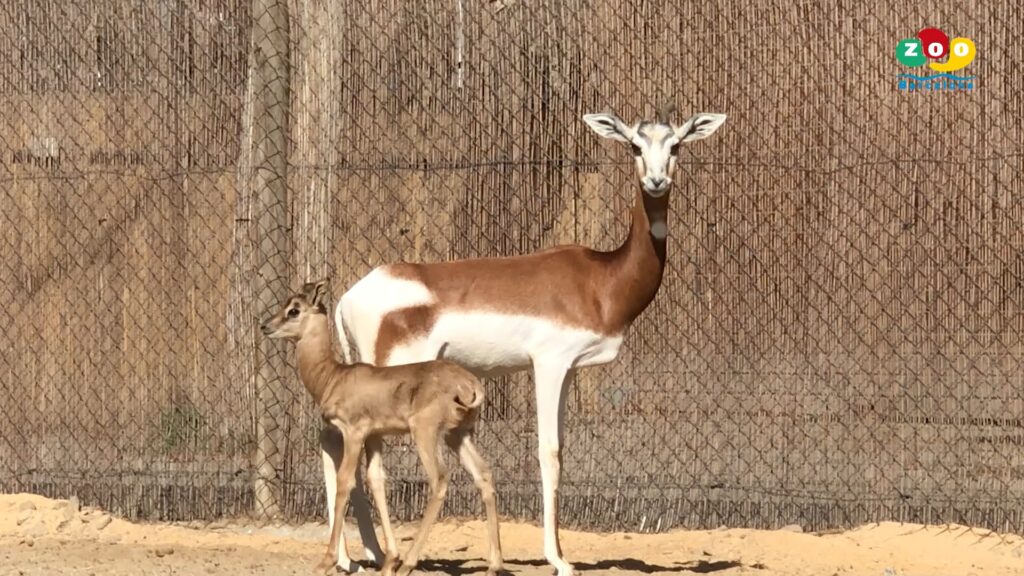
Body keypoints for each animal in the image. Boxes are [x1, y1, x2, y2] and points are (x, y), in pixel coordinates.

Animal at [260, 278, 503, 573]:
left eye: (294, 310)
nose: (265, 326)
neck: (332, 378)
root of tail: (470, 384)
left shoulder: (353, 433)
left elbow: (345, 482)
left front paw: (326, 562)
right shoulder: (375, 437)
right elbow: (375, 480)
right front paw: (388, 561)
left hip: (425, 432)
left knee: (440, 479)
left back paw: (409, 563)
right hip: (457, 435)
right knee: (484, 474)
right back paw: (493, 565)